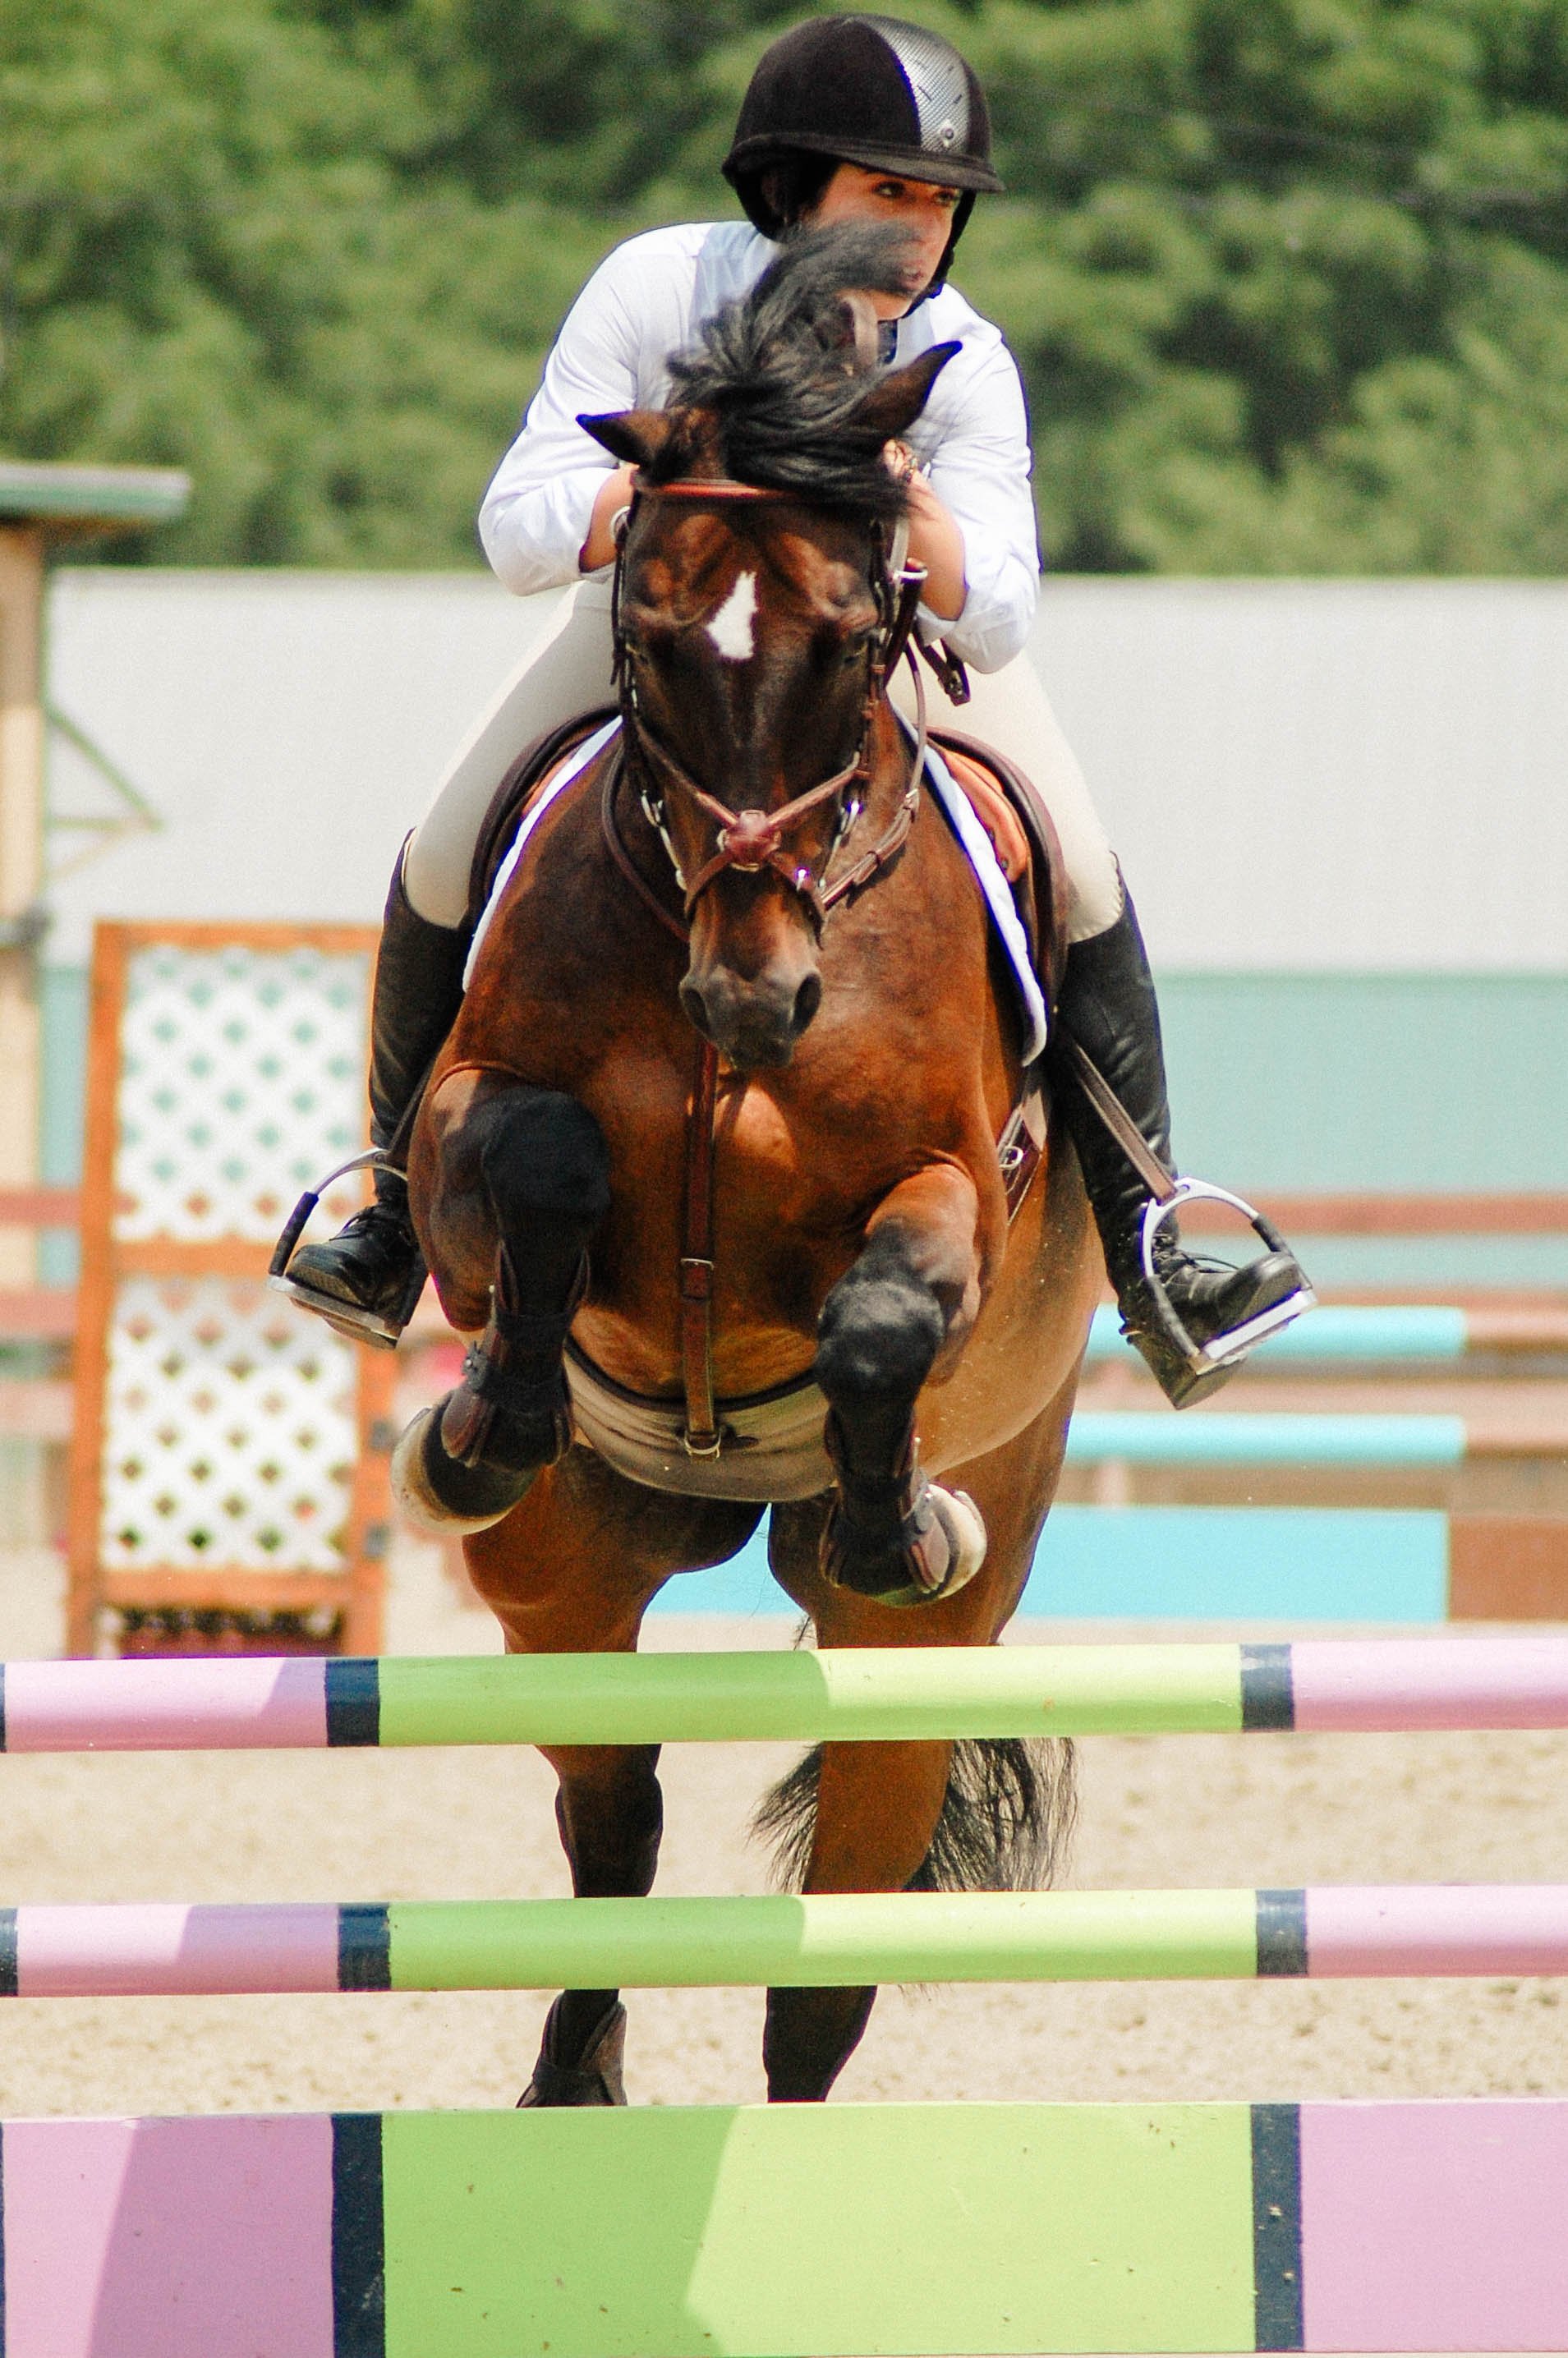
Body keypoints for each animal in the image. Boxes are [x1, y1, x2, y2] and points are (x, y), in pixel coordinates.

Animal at [390, 228, 1100, 2105]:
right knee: (614, 1818)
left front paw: (888, 1501)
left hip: (918, 1651)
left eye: (854, 642)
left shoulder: (961, 1186)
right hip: (558, 1572)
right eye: (646, 639)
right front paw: (491, 1408)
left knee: (829, 1937)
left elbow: (884, 1311)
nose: (751, 999)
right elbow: (543, 1163)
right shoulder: (461, 1123)